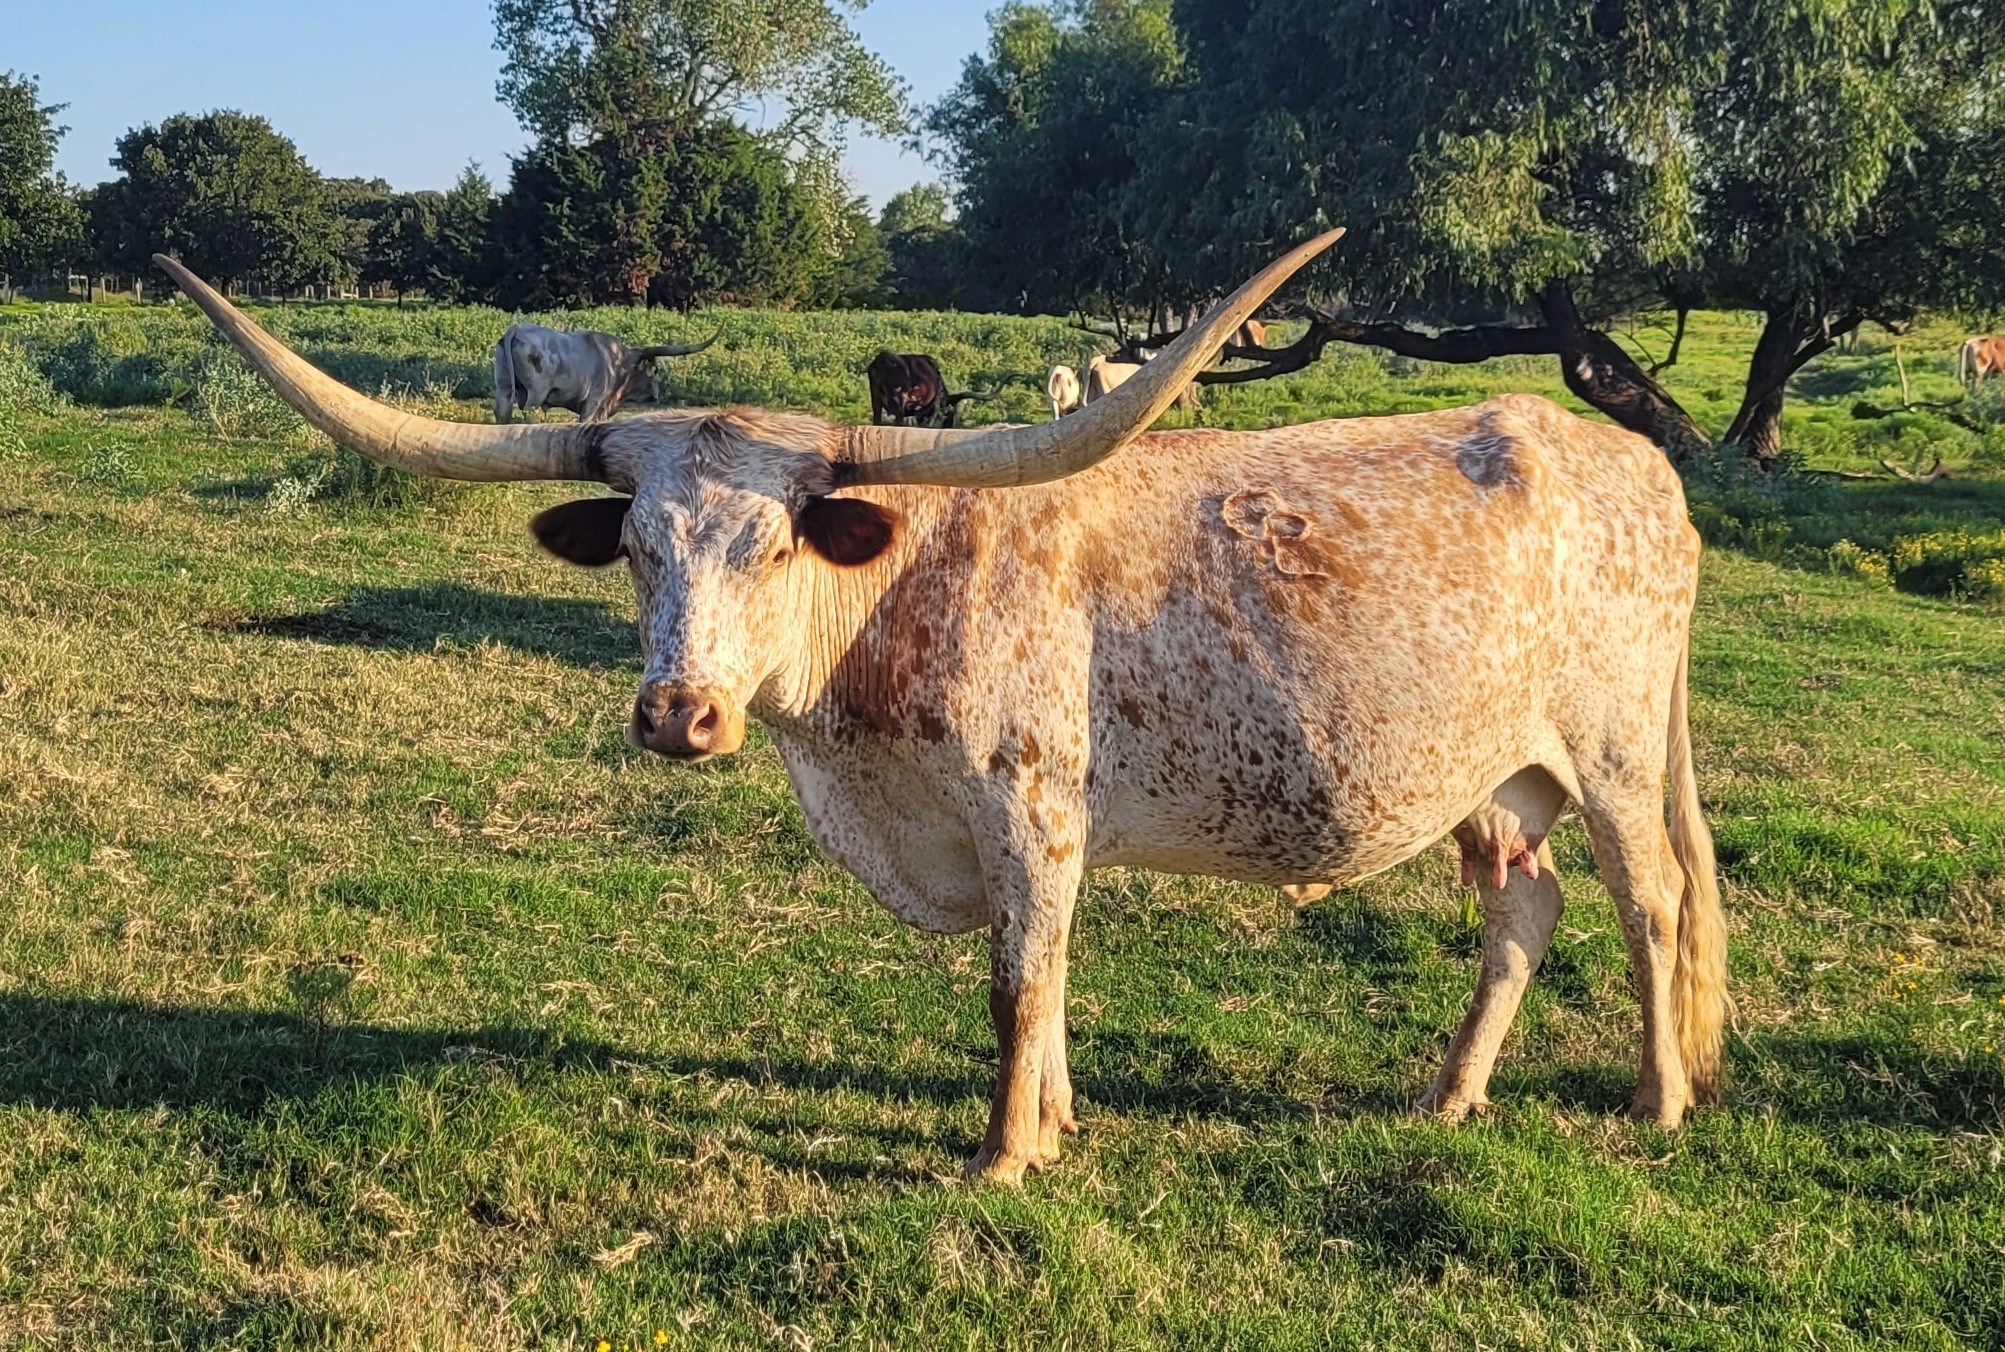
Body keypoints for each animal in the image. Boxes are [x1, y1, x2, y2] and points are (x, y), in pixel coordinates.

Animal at [493, 323, 717, 423]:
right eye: (655, 370)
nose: (656, 395)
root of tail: (516, 329)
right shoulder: (593, 402)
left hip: (504, 386)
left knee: (502, 411)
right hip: (535, 392)